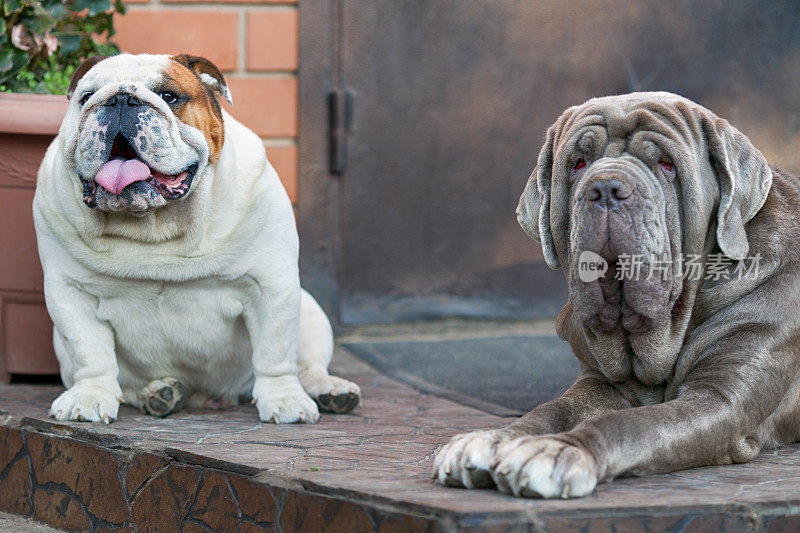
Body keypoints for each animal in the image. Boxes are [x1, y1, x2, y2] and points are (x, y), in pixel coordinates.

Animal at [434, 92, 800, 498]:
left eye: (666, 164)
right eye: (578, 164)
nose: (606, 187)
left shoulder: (720, 397)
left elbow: (633, 424)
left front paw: (557, 451)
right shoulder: (598, 382)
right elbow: (552, 410)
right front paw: (491, 439)